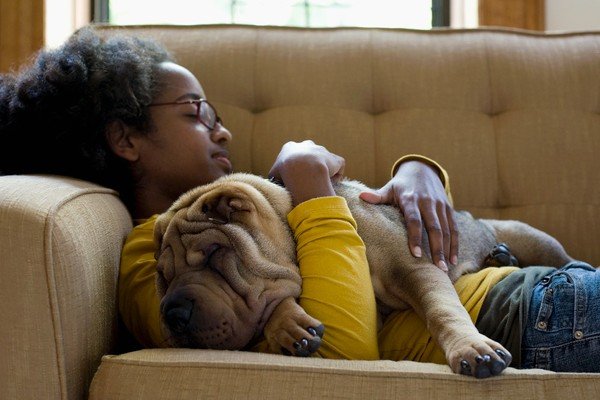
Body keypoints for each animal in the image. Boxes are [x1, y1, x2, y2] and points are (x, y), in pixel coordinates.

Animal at [155, 173, 572, 378]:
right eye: (163, 277)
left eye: (214, 254)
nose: (172, 314)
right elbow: (273, 300)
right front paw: (288, 324)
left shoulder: (417, 268)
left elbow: (443, 311)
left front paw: (471, 347)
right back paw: (498, 257)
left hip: (530, 235)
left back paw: (504, 255)